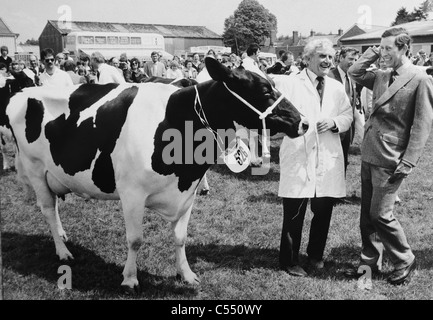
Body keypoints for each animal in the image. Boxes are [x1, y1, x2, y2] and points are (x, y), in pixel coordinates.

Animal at [4, 57, 308, 292]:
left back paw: (64, 237)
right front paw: (129, 279)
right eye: (265, 91)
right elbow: (135, 239)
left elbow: (181, 237)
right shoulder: (132, 193)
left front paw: (186, 274)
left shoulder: (188, 191)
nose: (303, 122)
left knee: (54, 208)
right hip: (35, 169)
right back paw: (63, 251)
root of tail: (21, 93)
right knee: (47, 209)